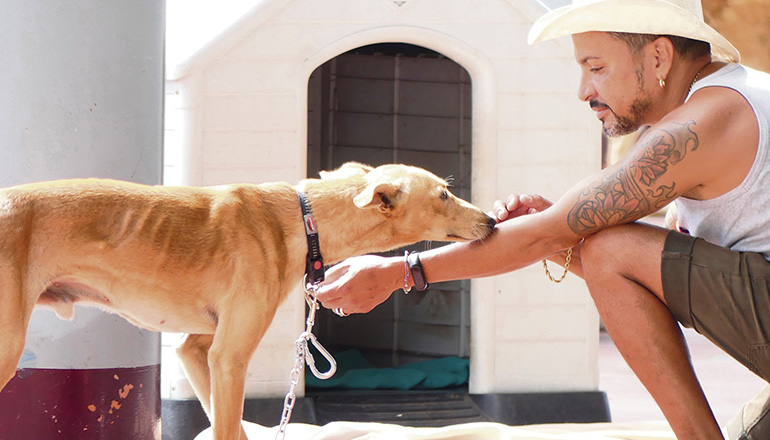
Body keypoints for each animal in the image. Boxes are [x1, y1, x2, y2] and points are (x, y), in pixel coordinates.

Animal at [0, 162, 492, 440]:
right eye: (444, 194)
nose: (490, 220)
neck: (302, 219)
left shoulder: (197, 350)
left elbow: (234, 429)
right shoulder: (229, 357)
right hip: (7, 348)